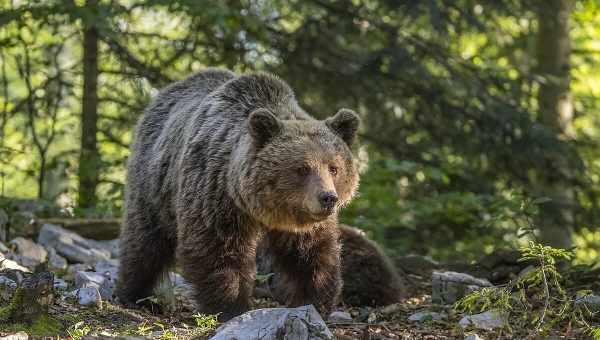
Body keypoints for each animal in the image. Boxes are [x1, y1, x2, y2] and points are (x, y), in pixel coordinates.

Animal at [118, 67, 360, 320]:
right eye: (302, 168)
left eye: (334, 167)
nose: (328, 198)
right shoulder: (216, 194)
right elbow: (218, 249)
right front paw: (231, 306)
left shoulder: (303, 221)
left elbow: (311, 253)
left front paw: (314, 300)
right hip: (154, 183)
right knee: (145, 240)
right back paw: (136, 295)